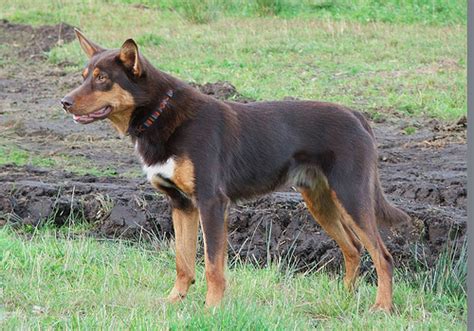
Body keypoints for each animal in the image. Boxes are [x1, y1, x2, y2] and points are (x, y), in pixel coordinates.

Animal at [61, 29, 410, 312]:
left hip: (351, 197)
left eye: (102, 79)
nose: (64, 102)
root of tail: (356, 115)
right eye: (84, 75)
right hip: (320, 201)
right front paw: (175, 301)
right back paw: (344, 298)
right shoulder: (181, 205)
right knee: (353, 249)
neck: (159, 113)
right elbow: (183, 263)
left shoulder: (211, 203)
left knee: (382, 256)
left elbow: (213, 265)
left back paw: (382, 308)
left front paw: (212, 309)